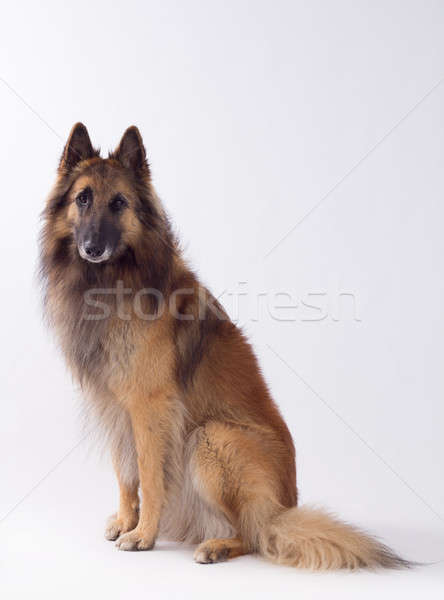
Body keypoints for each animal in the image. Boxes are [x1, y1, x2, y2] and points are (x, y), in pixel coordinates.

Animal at [40, 123, 410, 568]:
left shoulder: (150, 406)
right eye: (83, 198)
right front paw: (127, 521)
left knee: (255, 533)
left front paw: (143, 534)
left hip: (211, 438)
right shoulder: (114, 407)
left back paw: (217, 545)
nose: (92, 247)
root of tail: (285, 508)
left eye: (118, 203)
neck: (110, 280)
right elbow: (126, 472)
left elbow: (149, 473)